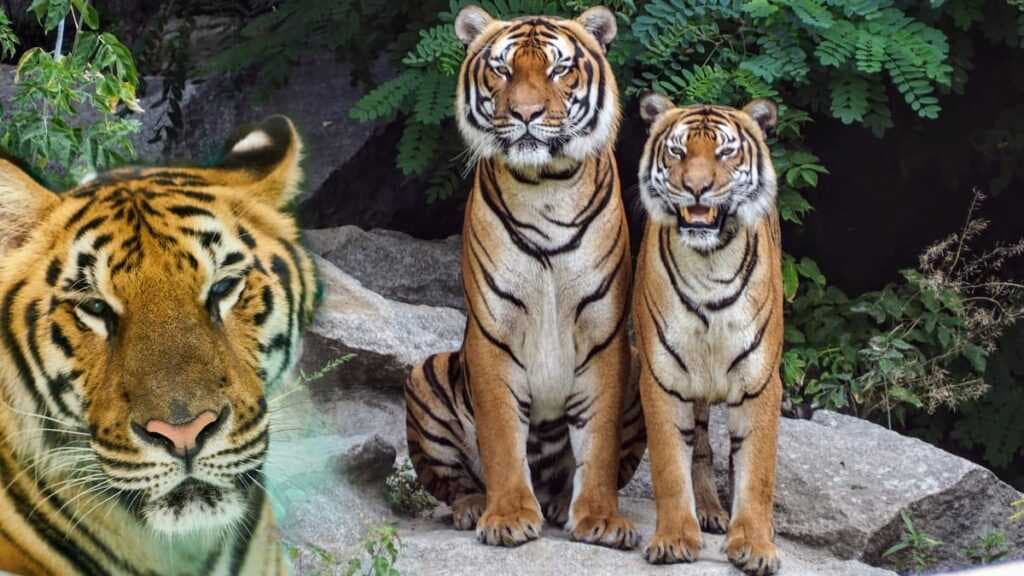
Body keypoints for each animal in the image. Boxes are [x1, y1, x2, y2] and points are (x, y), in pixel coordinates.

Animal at [403, 5, 646, 550]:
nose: (527, 114)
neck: (546, 186)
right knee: (452, 481)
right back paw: (475, 506)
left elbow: (597, 444)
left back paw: (559, 502)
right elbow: (500, 436)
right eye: (502, 69)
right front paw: (509, 515)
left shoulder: (603, 333)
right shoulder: (494, 331)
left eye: (559, 70)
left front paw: (600, 518)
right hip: (426, 373)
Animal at [632, 93, 784, 575]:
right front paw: (674, 538)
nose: (696, 187)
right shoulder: (662, 379)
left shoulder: (760, 383)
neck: (709, 264)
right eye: (678, 152)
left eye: (725, 152)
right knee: (699, 447)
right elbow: (668, 465)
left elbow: (756, 473)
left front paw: (754, 544)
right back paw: (710, 511)